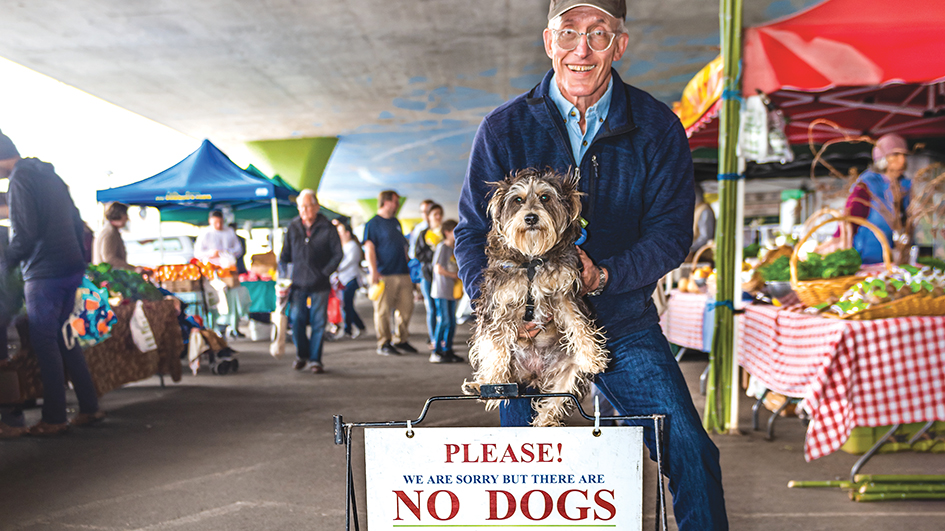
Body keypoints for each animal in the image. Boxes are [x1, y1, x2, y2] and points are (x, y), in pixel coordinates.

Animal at [462, 168, 604, 426]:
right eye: (518, 200)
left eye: (545, 197)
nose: (530, 218)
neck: (532, 258)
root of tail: (534, 375)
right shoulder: (499, 304)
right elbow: (496, 346)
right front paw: (493, 382)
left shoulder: (564, 294)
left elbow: (579, 323)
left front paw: (593, 356)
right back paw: (481, 385)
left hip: (569, 375)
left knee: (554, 404)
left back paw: (544, 423)